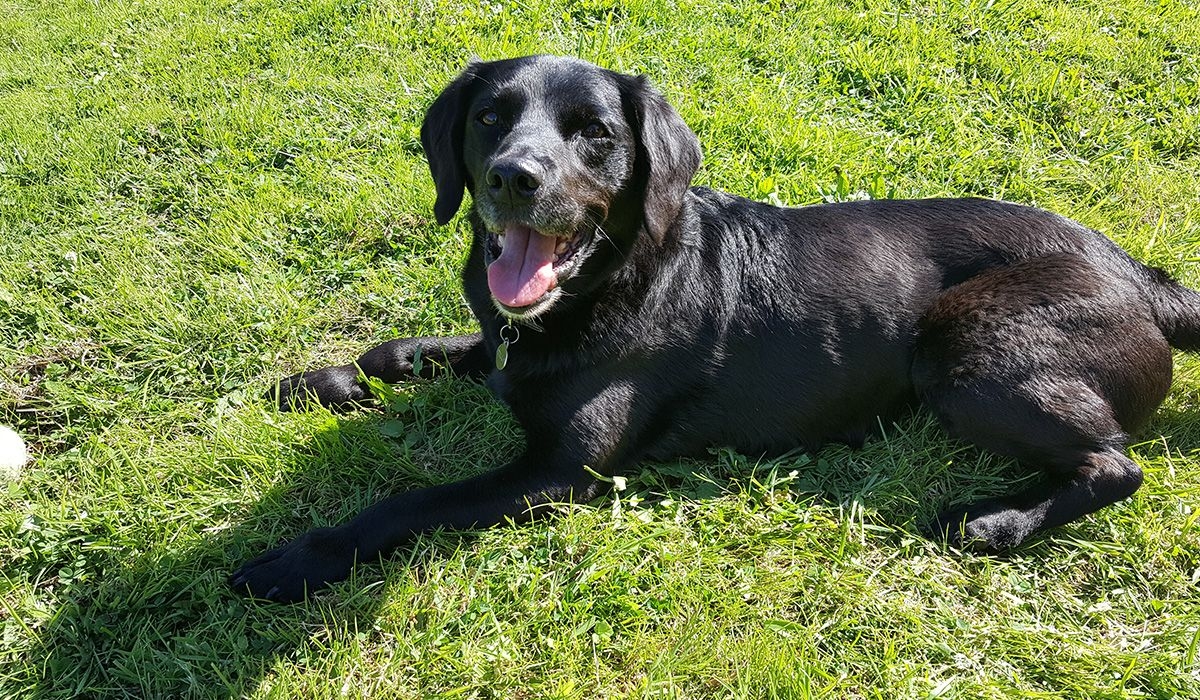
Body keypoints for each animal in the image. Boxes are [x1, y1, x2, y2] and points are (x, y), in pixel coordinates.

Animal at [226, 56, 1200, 602]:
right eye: (490, 117)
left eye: (593, 133)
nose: (512, 177)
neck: (612, 279)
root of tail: (1140, 277)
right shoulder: (505, 347)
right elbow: (400, 350)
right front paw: (310, 383)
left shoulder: (560, 473)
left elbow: (406, 501)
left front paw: (294, 559)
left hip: (963, 349)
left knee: (1118, 465)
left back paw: (993, 523)